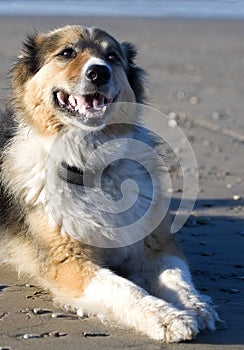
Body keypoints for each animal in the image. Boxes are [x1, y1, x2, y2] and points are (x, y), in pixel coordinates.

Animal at [0, 24, 221, 342]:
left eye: (112, 56)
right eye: (66, 53)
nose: (98, 73)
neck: (93, 167)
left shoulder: (155, 244)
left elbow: (177, 276)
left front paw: (196, 305)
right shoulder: (70, 263)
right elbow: (124, 289)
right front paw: (168, 317)